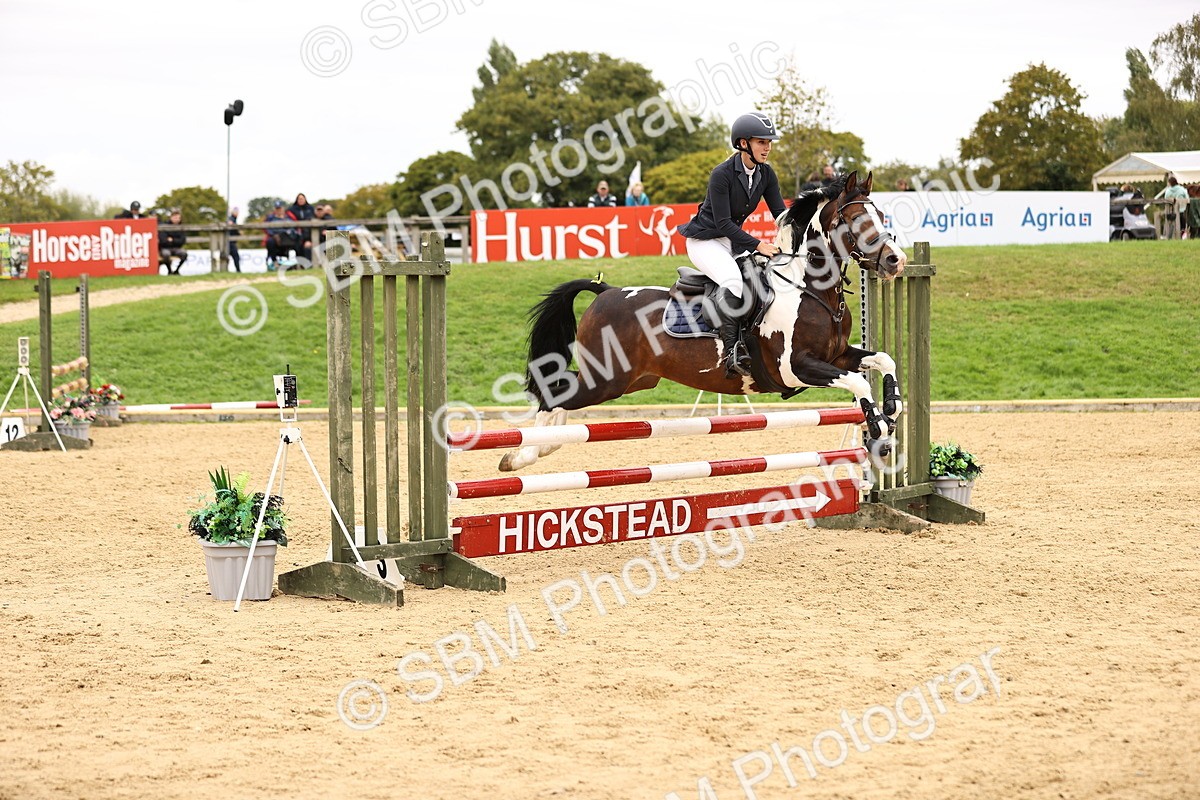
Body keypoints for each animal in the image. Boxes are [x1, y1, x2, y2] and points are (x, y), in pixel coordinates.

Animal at [498, 170, 907, 472]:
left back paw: (546, 446)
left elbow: (884, 360)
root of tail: (607, 292)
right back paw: (522, 455)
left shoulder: (836, 356)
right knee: (554, 394)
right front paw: (878, 429)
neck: (810, 289)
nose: (896, 261)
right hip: (607, 378)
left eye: (882, 217)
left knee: (564, 395)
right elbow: (858, 381)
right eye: (856, 218)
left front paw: (892, 408)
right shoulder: (795, 368)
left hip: (630, 381)